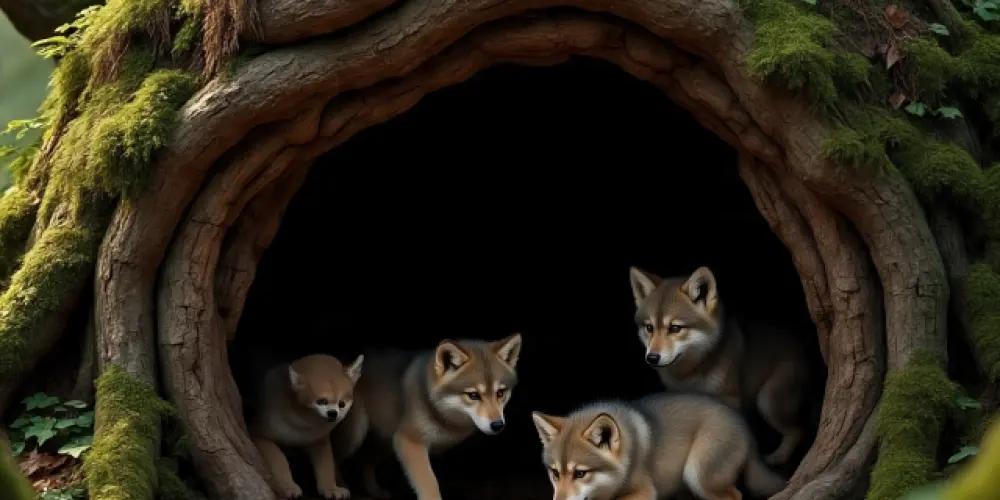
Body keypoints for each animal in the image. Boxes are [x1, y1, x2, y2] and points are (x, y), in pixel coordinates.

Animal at [248, 353, 364, 499]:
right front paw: (288, 486)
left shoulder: (318, 440)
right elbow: (278, 458)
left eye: (342, 403)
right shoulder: (257, 433)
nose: (333, 413)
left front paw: (330, 488)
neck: (302, 425)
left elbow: (326, 464)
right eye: (321, 401)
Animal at [330, 333, 522, 500]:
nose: (498, 425)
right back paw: (339, 488)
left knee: (366, 461)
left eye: (500, 393)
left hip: (386, 441)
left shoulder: (400, 442)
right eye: (473, 395)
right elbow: (430, 484)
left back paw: (375, 491)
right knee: (336, 456)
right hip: (356, 437)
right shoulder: (410, 443)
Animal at [531, 392, 786, 500]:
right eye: (555, 473)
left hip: (697, 475)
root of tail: (745, 426)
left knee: (735, 495)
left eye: (580, 473)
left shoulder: (645, 492)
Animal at [628, 265, 810, 466]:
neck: (692, 372)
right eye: (649, 328)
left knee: (798, 429)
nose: (652, 357)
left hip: (767, 401)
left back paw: (779, 457)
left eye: (675, 328)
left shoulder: (730, 401)